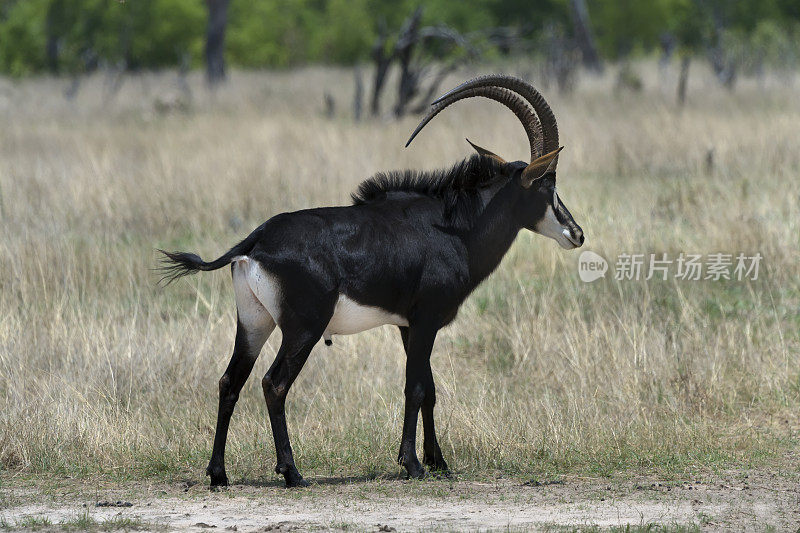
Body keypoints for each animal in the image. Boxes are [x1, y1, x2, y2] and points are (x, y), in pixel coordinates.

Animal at [161, 75, 588, 486]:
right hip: (303, 328)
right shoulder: (426, 320)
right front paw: (413, 464)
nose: (577, 233)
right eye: (547, 184)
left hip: (253, 322)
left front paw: (439, 462)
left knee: (230, 382)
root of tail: (256, 239)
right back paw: (292, 473)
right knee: (273, 383)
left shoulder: (407, 326)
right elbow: (416, 387)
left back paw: (219, 474)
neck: (453, 227)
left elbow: (429, 389)